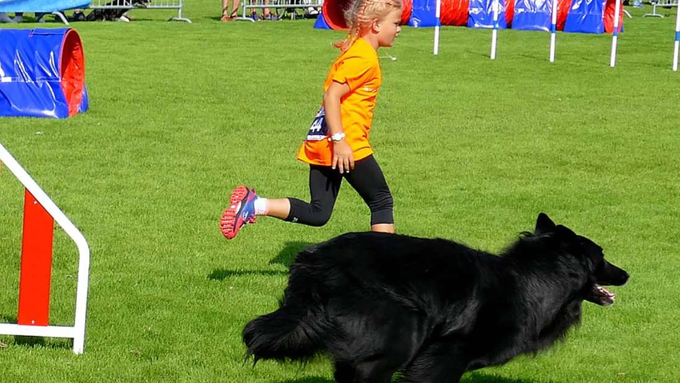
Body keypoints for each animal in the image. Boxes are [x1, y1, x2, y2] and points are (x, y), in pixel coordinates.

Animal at [242, 214, 628, 382]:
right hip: (402, 331)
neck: (533, 281)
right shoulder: (444, 356)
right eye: (602, 256)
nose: (626, 273)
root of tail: (314, 261)